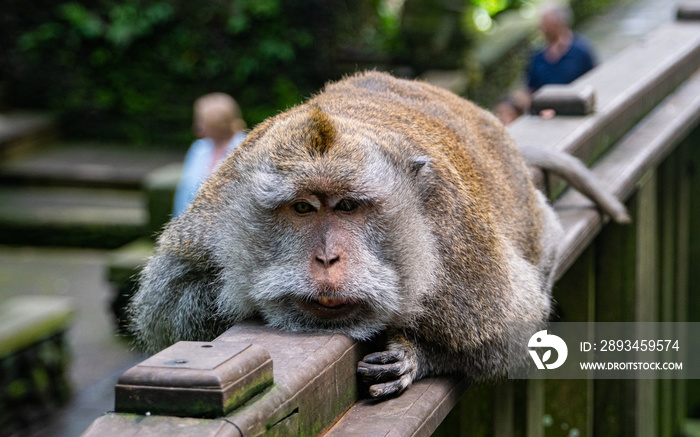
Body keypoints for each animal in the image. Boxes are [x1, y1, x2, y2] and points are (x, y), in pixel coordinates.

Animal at [127, 71, 628, 398]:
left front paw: (413, 354)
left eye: (348, 206)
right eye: (303, 208)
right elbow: (169, 311)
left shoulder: (458, 251)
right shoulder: (207, 226)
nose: (327, 259)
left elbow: (508, 331)